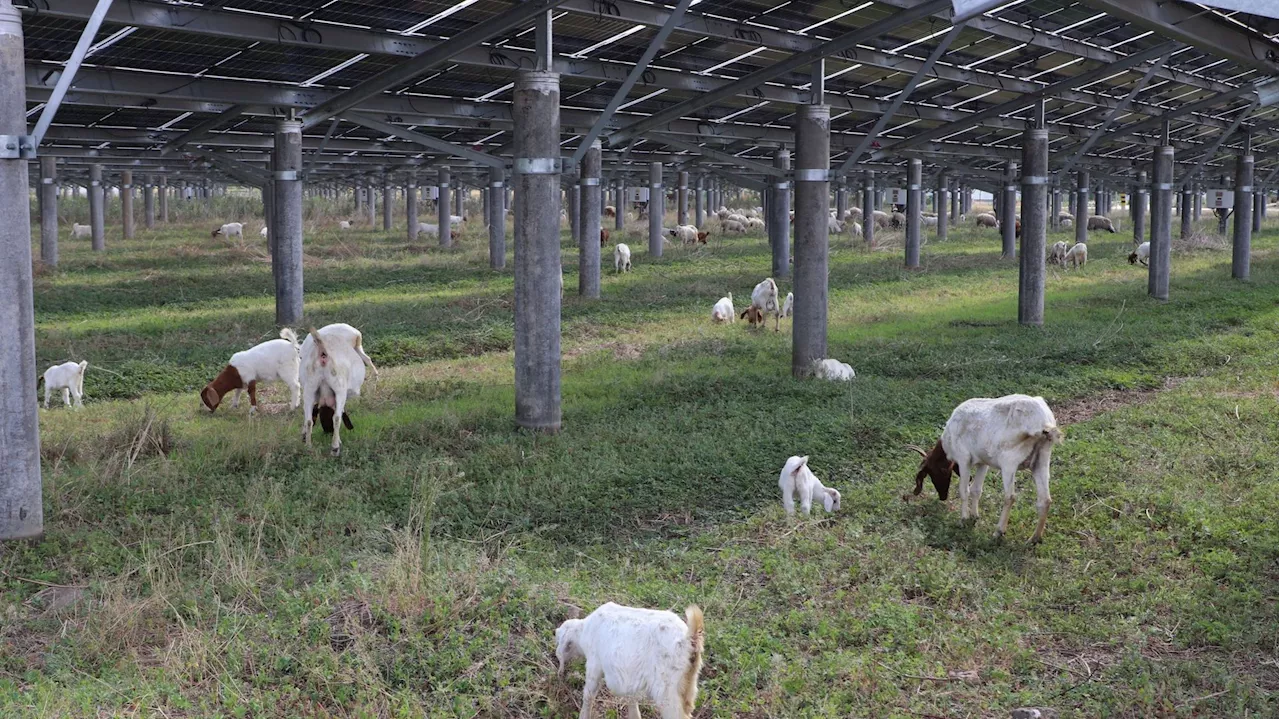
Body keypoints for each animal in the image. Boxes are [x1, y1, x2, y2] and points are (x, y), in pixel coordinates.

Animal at [300, 323, 376, 455]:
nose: (328, 432)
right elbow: (338, 413)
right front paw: (338, 441)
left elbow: (309, 419)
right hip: (339, 387)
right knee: (336, 418)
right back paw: (335, 448)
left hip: (310, 388)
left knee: (309, 420)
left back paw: (309, 447)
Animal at [555, 598, 706, 716]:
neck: (584, 630)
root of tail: (689, 639)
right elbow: (632, 702)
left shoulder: (594, 663)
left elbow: (589, 694)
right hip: (688, 684)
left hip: (669, 692)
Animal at [911, 394, 1059, 539]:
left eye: (933, 473)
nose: (942, 496)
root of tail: (1044, 423)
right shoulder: (983, 462)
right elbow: (976, 490)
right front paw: (974, 516)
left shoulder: (963, 459)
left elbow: (964, 490)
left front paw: (963, 519)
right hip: (1042, 459)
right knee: (1045, 499)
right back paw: (1034, 538)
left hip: (1009, 462)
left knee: (1010, 497)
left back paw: (999, 531)